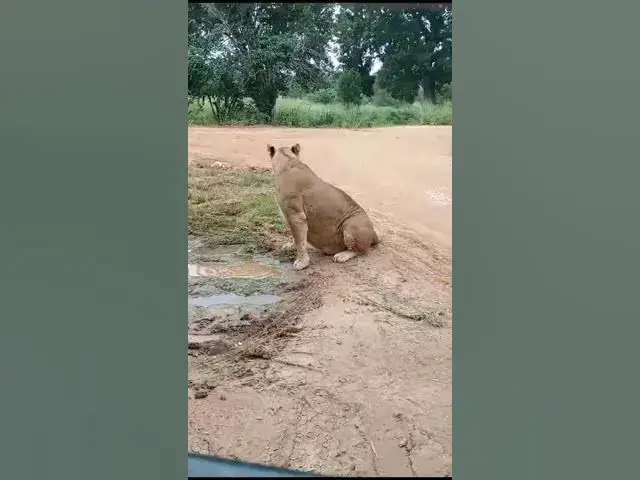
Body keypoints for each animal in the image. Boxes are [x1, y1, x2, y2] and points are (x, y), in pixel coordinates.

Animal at [268, 142, 379, 271]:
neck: (288, 160)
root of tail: (374, 234)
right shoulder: (289, 216)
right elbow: (295, 236)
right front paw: (290, 245)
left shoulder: (295, 215)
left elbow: (299, 241)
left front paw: (302, 262)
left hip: (351, 224)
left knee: (361, 250)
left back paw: (341, 255)